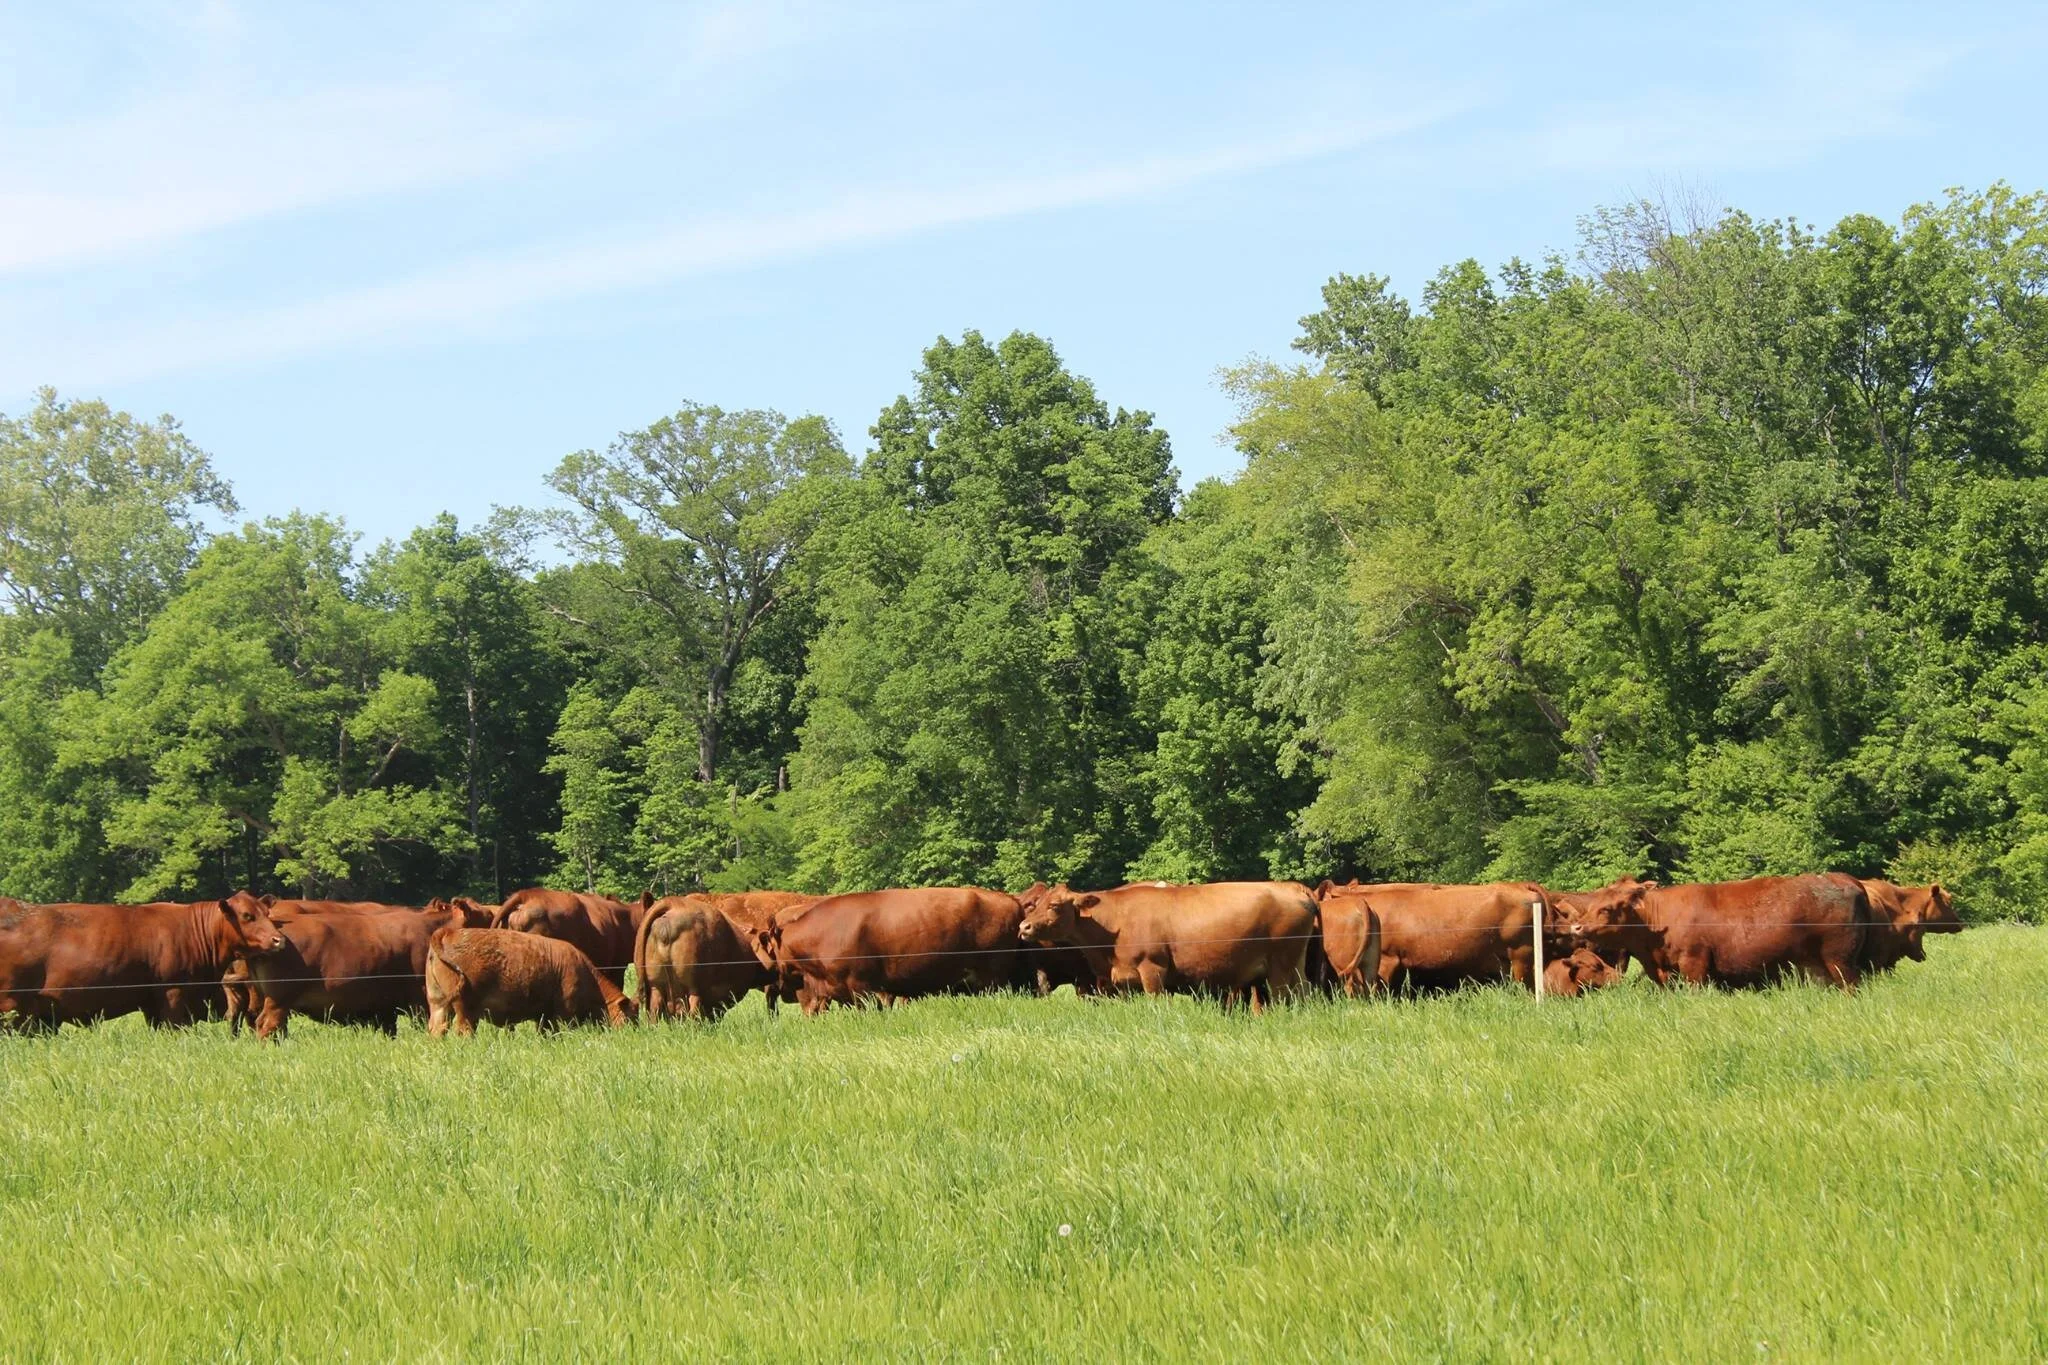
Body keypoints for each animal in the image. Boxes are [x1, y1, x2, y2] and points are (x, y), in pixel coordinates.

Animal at [0, 894, 285, 1031]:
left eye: (266, 913)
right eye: (247, 915)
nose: (278, 939)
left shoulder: (151, 1004)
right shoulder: (172, 995)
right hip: (11, 1006)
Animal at [425, 927, 636, 1034]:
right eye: (630, 1018)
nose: (634, 1034)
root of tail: (447, 932)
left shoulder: (544, 1016)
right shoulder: (564, 1013)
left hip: (439, 1005)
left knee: (437, 1030)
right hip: (466, 1011)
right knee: (464, 1031)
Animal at [1015, 881, 1316, 1012]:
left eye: (1054, 905)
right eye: (1036, 903)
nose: (1024, 927)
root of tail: (1293, 890)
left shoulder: (1153, 969)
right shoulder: (1122, 981)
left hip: (1280, 966)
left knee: (1282, 997)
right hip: (1296, 966)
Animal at [1562, 874, 1868, 990]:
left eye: (1608, 908)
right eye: (1594, 900)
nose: (1577, 926)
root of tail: (1847, 879)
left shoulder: (1694, 965)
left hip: (1839, 962)